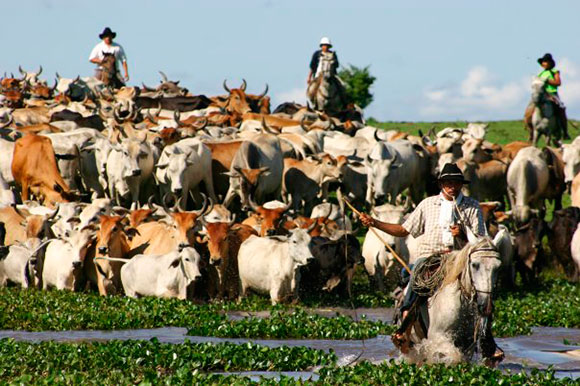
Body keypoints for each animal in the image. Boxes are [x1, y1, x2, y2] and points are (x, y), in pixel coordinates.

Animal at [404, 237, 502, 366]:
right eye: (475, 265)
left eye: (498, 267)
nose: (487, 307)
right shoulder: (437, 337)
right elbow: (453, 356)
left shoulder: (467, 344)